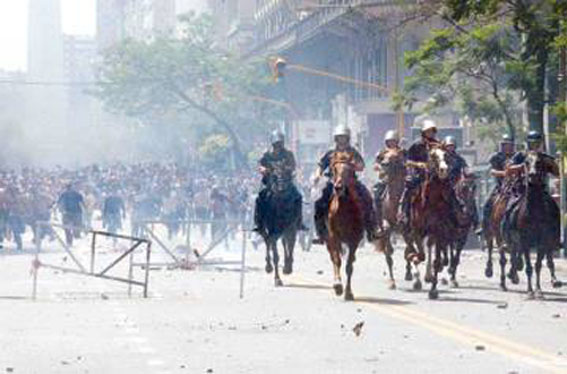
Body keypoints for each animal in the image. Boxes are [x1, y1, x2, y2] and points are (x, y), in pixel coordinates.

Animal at [326, 150, 366, 300]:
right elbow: (337, 260)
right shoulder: (333, 236)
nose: (338, 188)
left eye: (349, 171)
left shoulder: (354, 239)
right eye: (335, 169)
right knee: (333, 257)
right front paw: (338, 285)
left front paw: (348, 292)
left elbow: (349, 266)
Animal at [506, 152, 564, 298]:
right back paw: (513, 273)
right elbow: (528, 267)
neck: (534, 212)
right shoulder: (524, 240)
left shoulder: (543, 240)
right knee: (515, 253)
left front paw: (538, 290)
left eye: (540, 162)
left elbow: (538, 265)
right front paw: (530, 291)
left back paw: (554, 280)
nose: (532, 175)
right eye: (526, 162)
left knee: (548, 257)